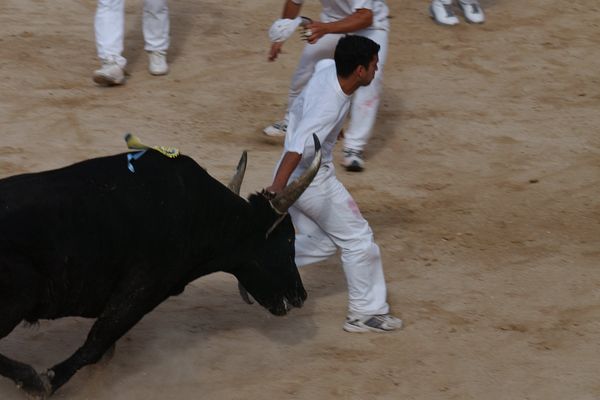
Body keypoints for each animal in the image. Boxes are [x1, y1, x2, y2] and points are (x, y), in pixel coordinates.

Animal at [0, 141, 322, 396]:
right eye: (289, 239)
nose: (301, 295)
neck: (203, 212)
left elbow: (103, 347)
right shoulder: (142, 288)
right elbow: (96, 343)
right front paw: (46, 382)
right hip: (19, 297)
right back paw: (31, 379)